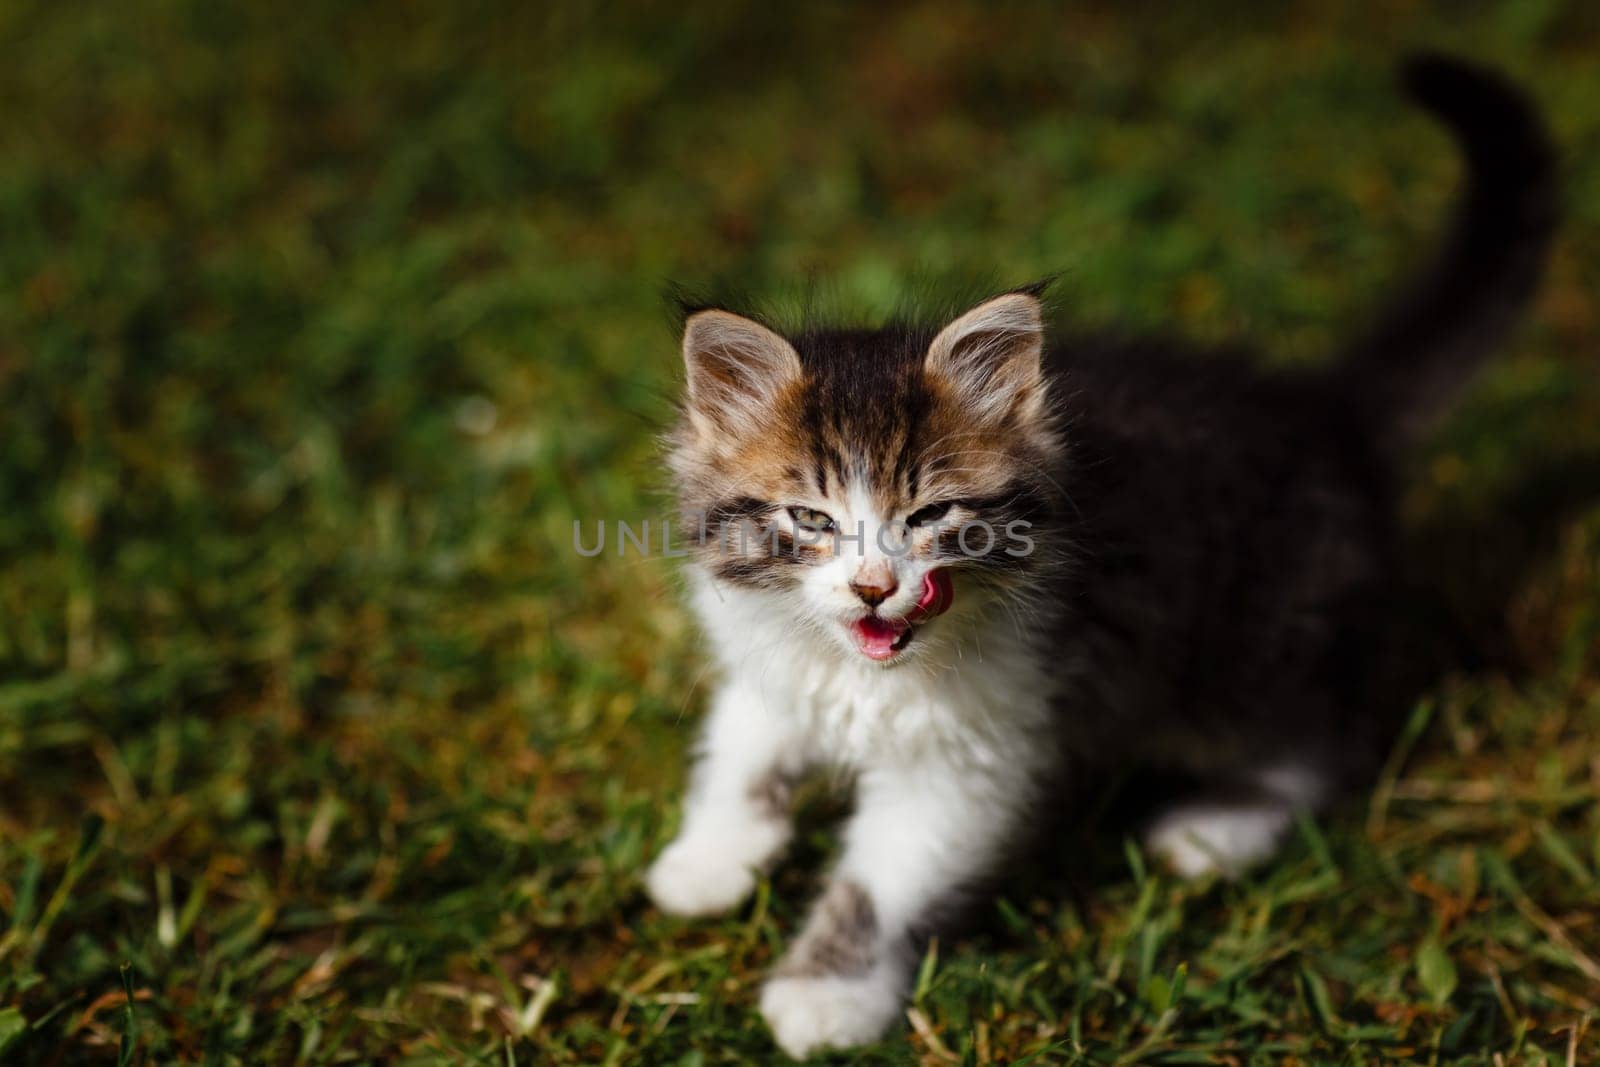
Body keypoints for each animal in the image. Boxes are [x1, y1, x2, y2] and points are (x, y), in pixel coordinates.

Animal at [643, 54, 1555, 1055]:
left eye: (932, 513)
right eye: (810, 517)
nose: (876, 587)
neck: (862, 671)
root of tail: (1324, 415)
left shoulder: (977, 753)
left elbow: (881, 882)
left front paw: (827, 992)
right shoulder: (768, 659)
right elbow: (742, 745)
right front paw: (710, 854)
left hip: (1241, 656)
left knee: (1325, 743)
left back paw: (1216, 827)